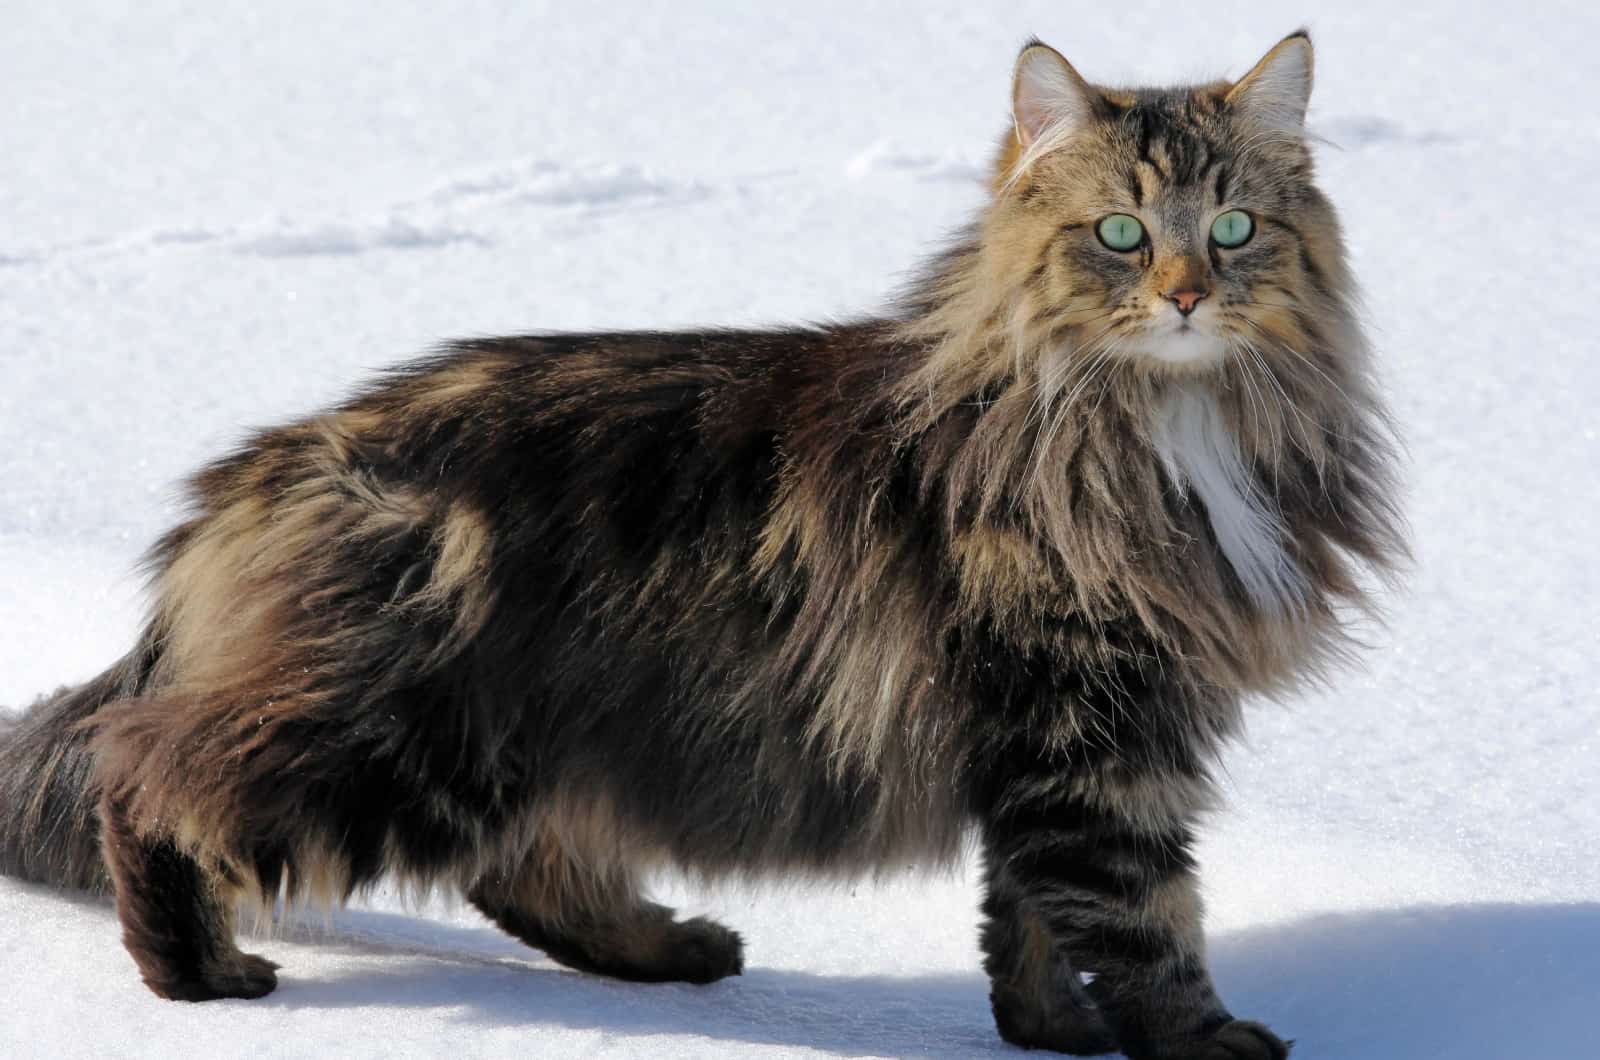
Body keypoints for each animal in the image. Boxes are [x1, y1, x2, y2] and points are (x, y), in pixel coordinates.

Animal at [0, 33, 1401, 1060]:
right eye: (1120, 232)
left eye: (1232, 229)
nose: (1185, 294)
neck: (1160, 425)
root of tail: (255, 475)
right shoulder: (1086, 724)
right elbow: (1140, 911)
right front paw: (1200, 1040)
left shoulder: (1066, 734)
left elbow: (1034, 918)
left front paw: (1052, 1034)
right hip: (395, 729)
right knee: (147, 776)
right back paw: (204, 975)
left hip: (502, 737)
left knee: (522, 869)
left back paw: (676, 951)